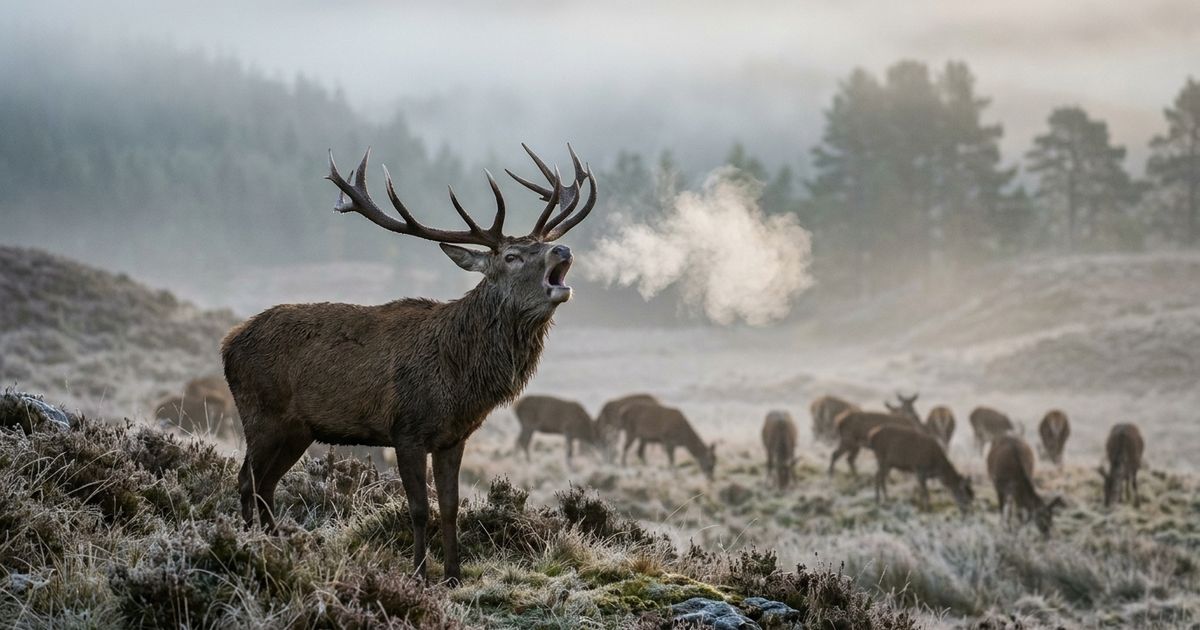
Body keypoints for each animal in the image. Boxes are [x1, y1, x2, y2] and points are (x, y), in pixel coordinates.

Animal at [222, 144, 598, 585]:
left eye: (544, 244)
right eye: (512, 256)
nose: (563, 249)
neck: (459, 378)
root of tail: (228, 344)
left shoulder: (453, 437)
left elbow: (451, 508)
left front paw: (454, 575)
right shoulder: (407, 430)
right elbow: (419, 509)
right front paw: (419, 574)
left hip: (297, 430)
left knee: (265, 484)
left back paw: (276, 546)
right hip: (261, 414)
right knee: (247, 480)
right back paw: (252, 546)